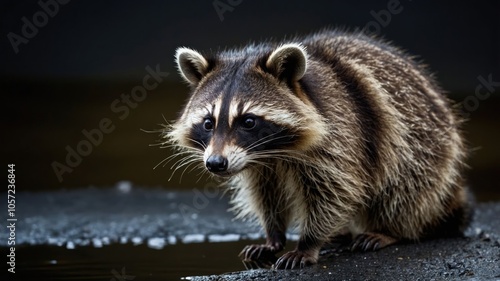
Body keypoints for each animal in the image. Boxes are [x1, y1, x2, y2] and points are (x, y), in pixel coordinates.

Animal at [165, 29, 472, 270]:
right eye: (208, 123)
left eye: (248, 121)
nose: (215, 163)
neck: (273, 152)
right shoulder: (259, 164)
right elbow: (265, 193)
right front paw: (273, 234)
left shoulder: (342, 132)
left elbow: (335, 191)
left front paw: (308, 243)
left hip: (425, 146)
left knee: (405, 185)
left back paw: (388, 229)